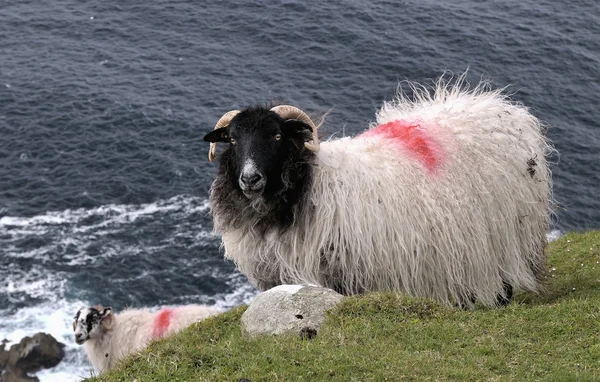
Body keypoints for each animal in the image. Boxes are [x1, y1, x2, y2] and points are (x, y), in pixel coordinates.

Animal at [204, 77, 556, 308]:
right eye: (232, 139)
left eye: (277, 136)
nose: (250, 178)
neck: (309, 185)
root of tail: (500, 107)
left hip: (508, 234)